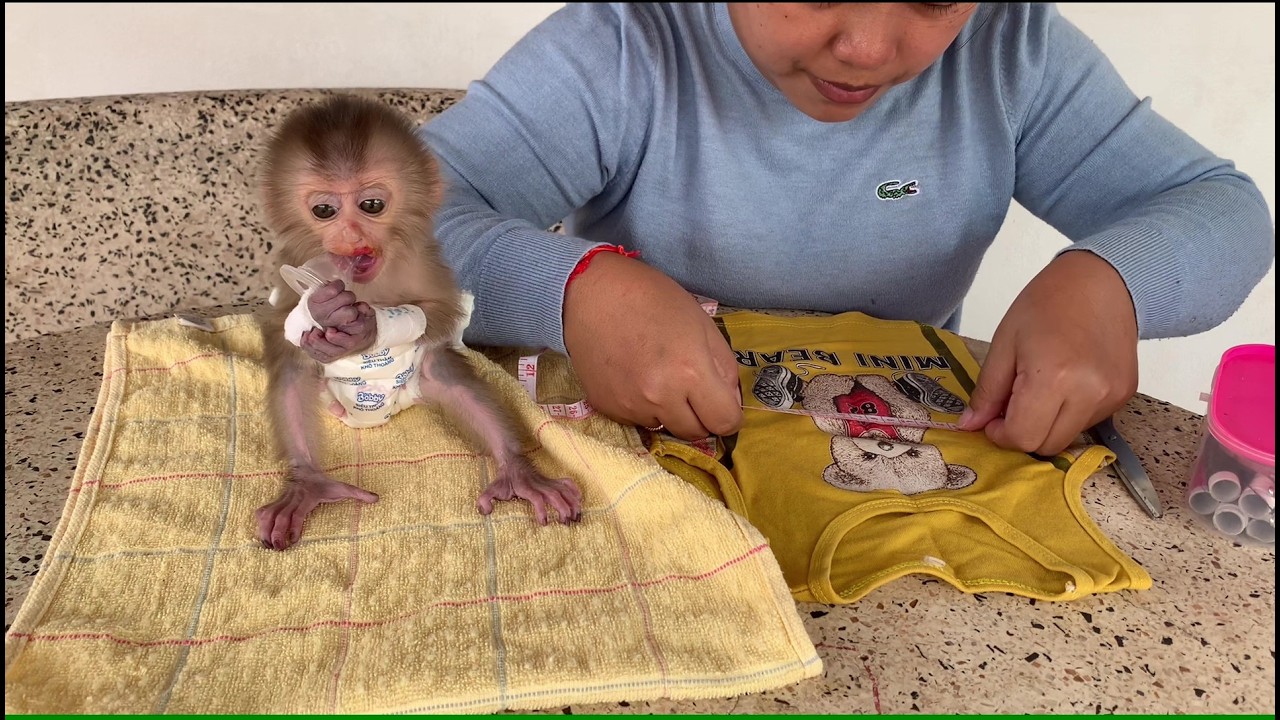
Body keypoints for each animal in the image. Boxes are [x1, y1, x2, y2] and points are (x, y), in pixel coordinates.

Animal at [254, 94, 582, 551]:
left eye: (372, 205)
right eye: (323, 210)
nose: (350, 235)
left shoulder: (424, 258)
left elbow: (441, 311)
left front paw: (366, 329)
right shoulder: (292, 259)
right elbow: (281, 324)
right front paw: (322, 323)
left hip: (415, 383)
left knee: (442, 370)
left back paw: (518, 471)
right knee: (292, 370)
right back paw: (306, 484)